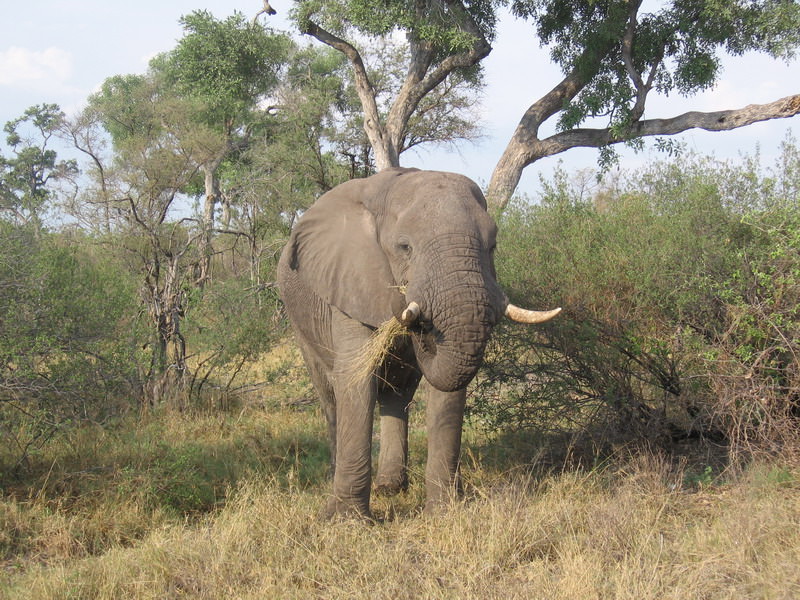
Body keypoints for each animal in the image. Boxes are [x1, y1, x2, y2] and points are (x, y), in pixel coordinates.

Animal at [278, 169, 560, 520]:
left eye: (493, 245)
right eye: (404, 247)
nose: (422, 328)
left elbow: (447, 391)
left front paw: (444, 513)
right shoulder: (347, 284)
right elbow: (356, 380)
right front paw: (346, 521)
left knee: (396, 393)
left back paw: (390, 488)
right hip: (300, 322)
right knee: (330, 395)